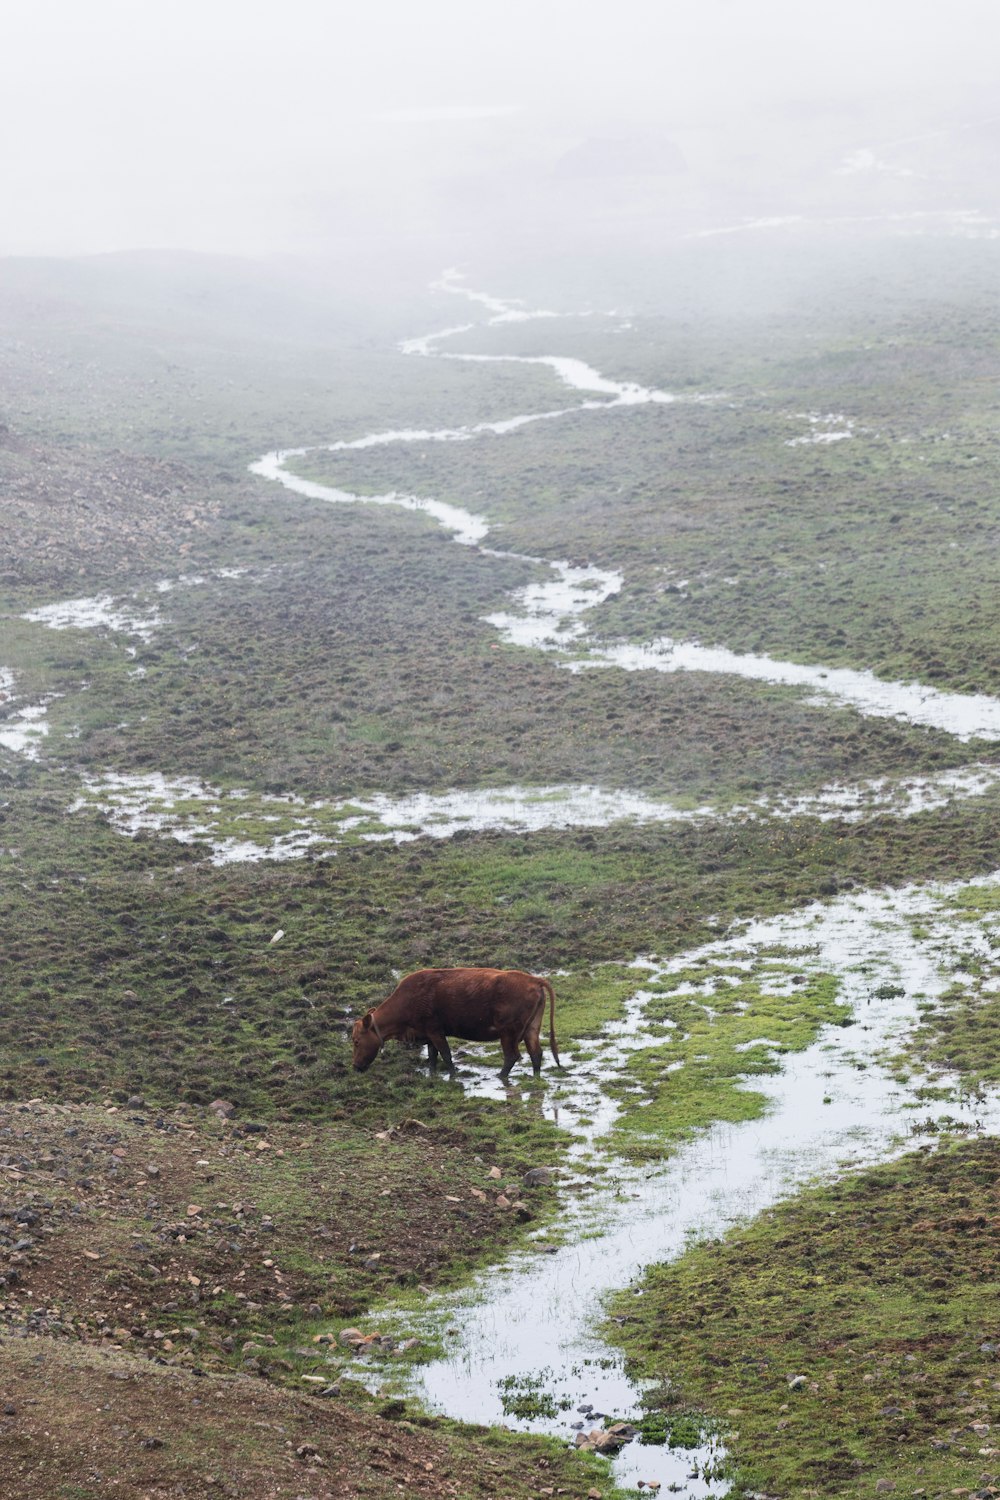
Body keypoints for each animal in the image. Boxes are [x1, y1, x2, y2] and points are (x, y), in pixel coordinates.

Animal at [350, 972, 563, 1080]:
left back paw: (500, 1076)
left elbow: (445, 1054)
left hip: (508, 1033)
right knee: (536, 1053)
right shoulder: (429, 1034)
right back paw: (535, 1077)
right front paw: (432, 1075)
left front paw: (453, 1075)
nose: (355, 1066)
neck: (409, 998)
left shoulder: (435, 1031)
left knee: (512, 1056)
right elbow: (432, 1056)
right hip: (531, 1029)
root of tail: (535, 980)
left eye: (357, 1041)